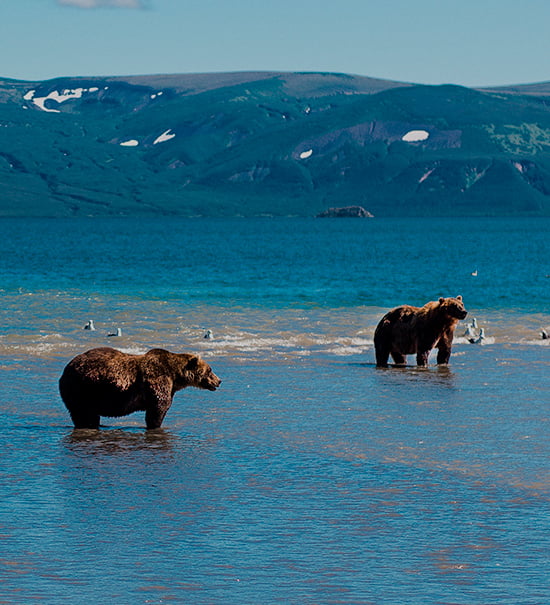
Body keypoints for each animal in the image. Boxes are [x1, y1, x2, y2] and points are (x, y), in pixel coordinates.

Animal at [59, 346, 222, 428]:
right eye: (210, 370)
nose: (219, 381)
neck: (176, 376)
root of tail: (66, 368)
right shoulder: (158, 380)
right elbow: (158, 409)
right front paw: (155, 426)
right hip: (82, 389)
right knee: (81, 413)